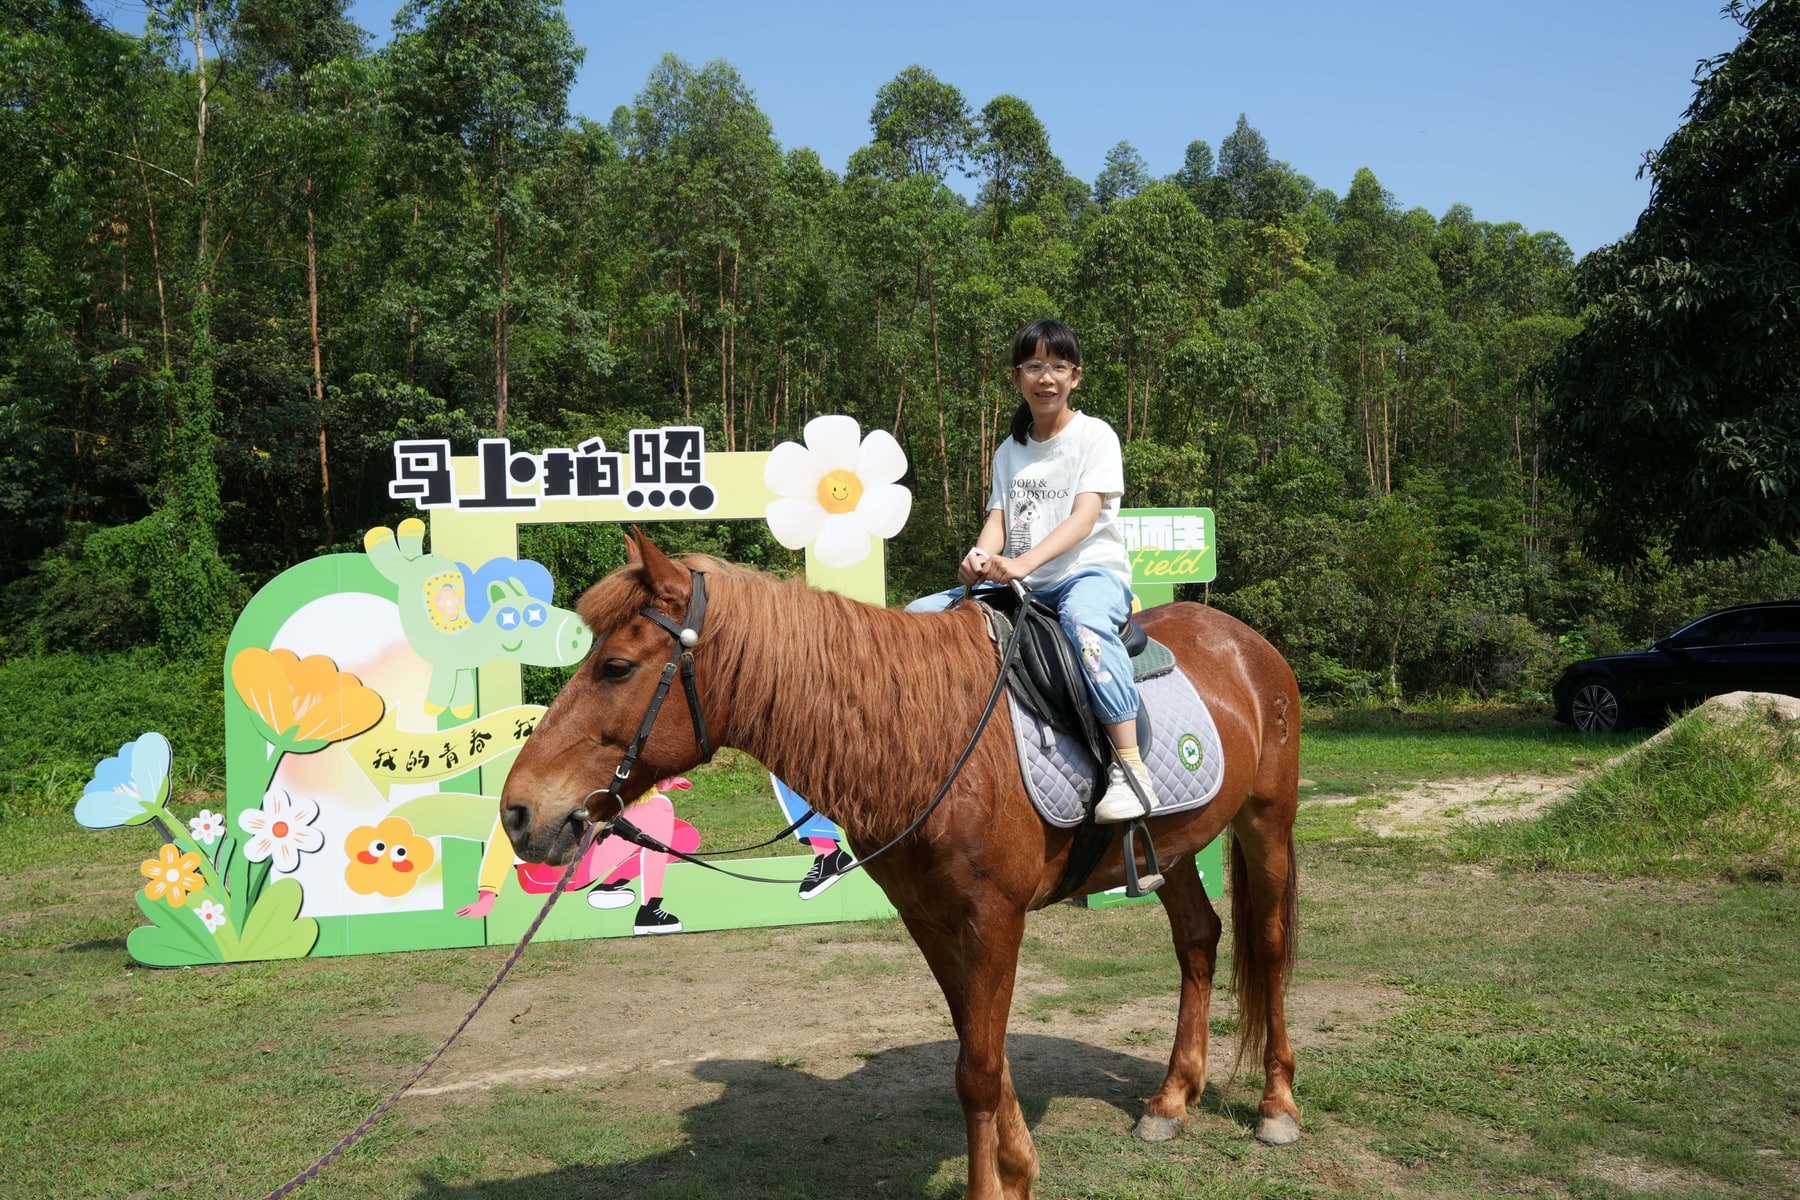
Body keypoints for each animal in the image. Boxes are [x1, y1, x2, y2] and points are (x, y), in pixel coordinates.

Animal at [500, 531, 1301, 1200]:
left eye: (615, 667)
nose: (518, 813)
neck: (928, 737)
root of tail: (1242, 639)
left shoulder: (993, 919)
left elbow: (979, 1070)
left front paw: (994, 1187)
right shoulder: (930, 918)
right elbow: (979, 1052)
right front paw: (1017, 1171)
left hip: (1267, 819)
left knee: (1266, 944)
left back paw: (1277, 1106)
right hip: (1175, 845)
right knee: (1197, 938)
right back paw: (1172, 1099)